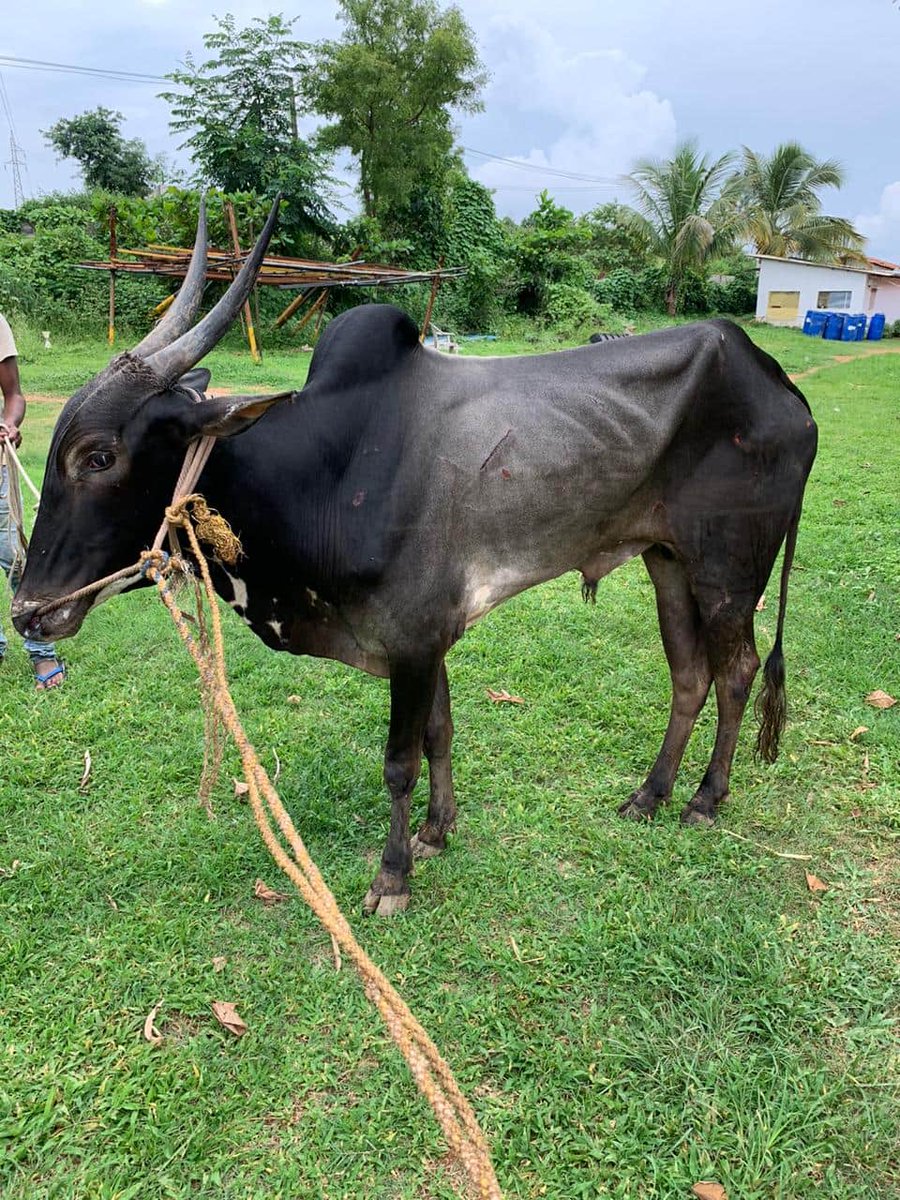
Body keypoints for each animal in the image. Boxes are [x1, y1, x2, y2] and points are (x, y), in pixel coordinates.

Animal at [13, 202, 818, 916]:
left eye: (99, 456)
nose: (28, 610)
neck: (330, 476)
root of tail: (779, 383)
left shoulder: (412, 636)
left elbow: (399, 760)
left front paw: (393, 876)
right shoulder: (428, 640)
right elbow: (440, 732)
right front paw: (437, 830)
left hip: (727, 571)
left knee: (737, 672)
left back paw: (705, 800)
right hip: (667, 561)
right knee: (689, 677)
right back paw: (650, 795)